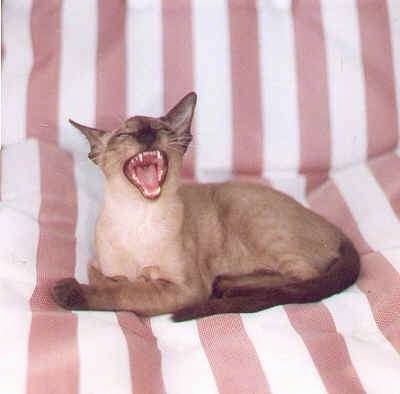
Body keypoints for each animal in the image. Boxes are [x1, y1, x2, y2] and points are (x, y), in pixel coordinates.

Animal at [51, 94, 360, 322]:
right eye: (124, 134)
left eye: (161, 130)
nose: (147, 134)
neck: (140, 217)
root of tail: (339, 231)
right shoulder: (100, 267)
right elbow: (111, 281)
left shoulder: (185, 287)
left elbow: (127, 291)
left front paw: (71, 291)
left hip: (242, 207)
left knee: (300, 281)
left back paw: (228, 287)